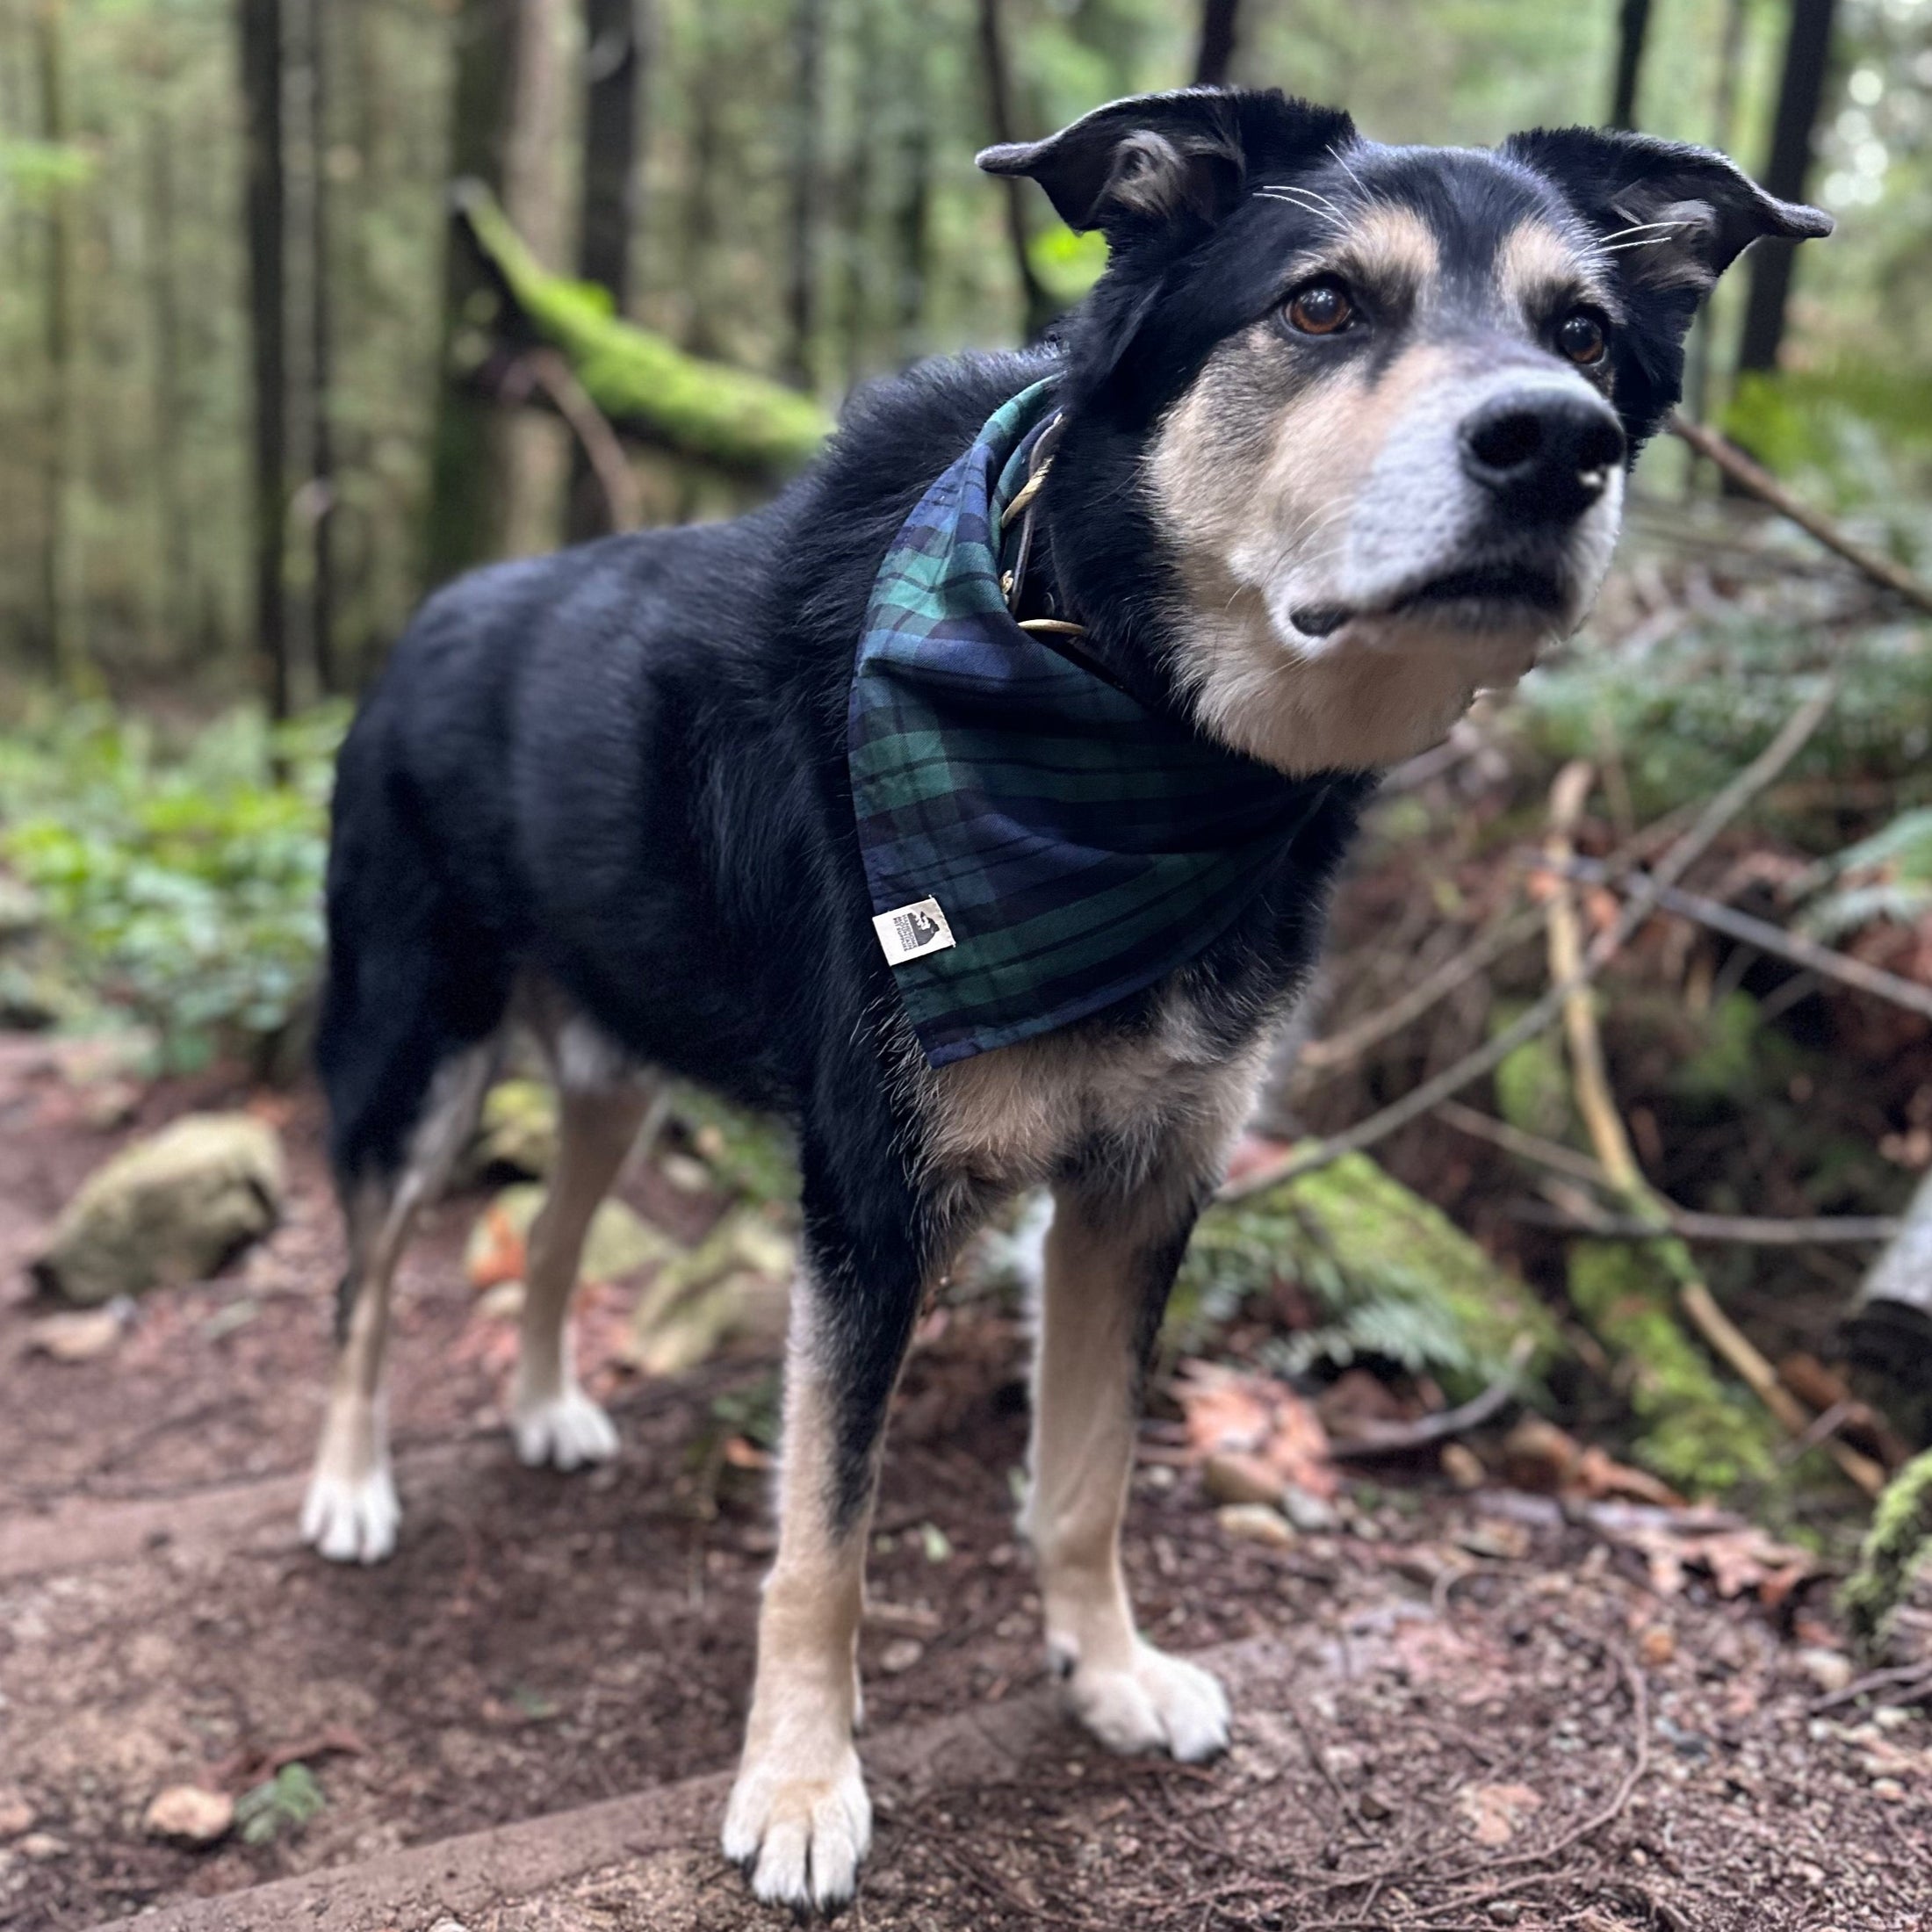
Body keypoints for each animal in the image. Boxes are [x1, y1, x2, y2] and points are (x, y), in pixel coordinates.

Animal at [301, 83, 1823, 1908]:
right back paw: (349, 1487)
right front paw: (801, 1784)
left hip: (613, 1070)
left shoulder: (1145, 1182)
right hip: (417, 1050)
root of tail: (421, 624)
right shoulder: (871, 1202)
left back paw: (542, 1406)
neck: (1120, 701)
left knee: (554, 1234)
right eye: (1322, 304)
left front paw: (1104, 1673)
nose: (1556, 442)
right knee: (363, 1285)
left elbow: (1086, 1478)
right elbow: (826, 1536)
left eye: (1584, 334)